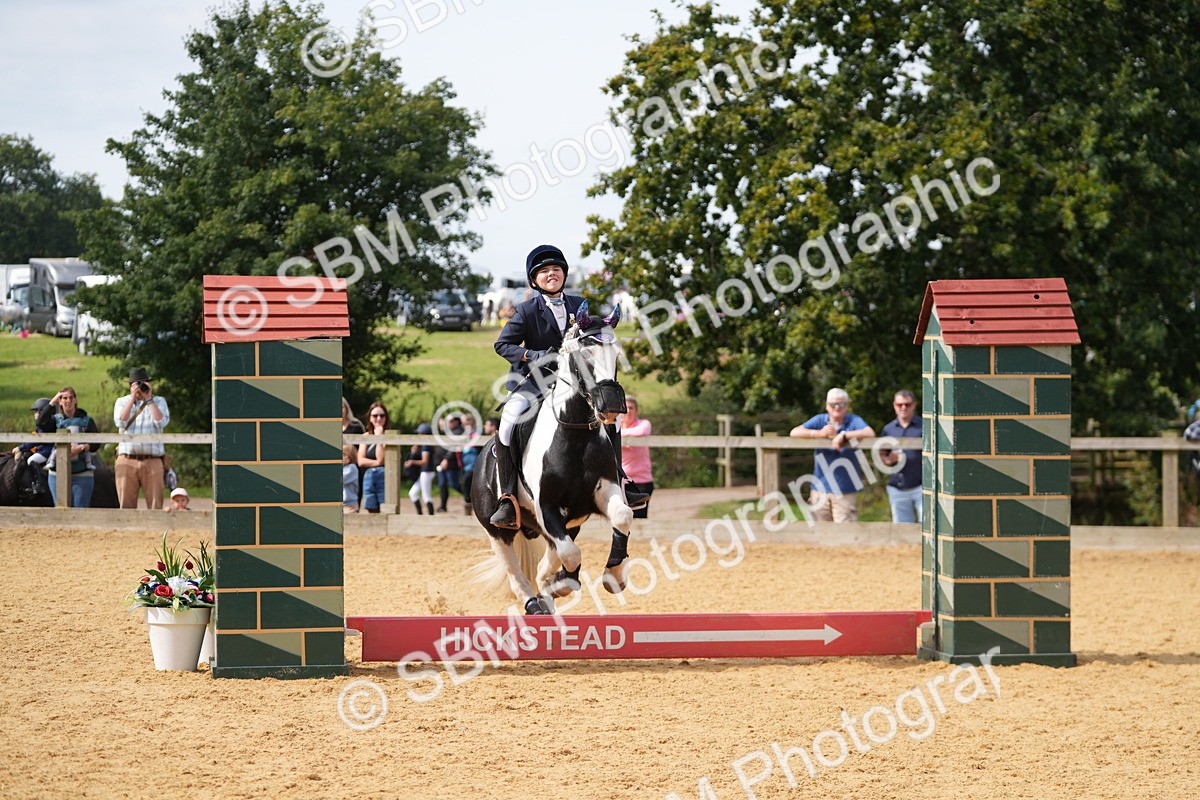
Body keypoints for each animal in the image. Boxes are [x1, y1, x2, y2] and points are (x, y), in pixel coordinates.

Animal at [470, 305, 633, 614]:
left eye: (616, 353)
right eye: (585, 353)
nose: (611, 406)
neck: (575, 433)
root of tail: (482, 458)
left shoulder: (604, 492)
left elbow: (622, 517)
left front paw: (614, 575)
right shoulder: (546, 507)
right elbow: (569, 553)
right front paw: (559, 584)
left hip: (567, 523)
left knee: (551, 555)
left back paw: (547, 590)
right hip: (496, 530)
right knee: (516, 573)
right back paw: (535, 602)